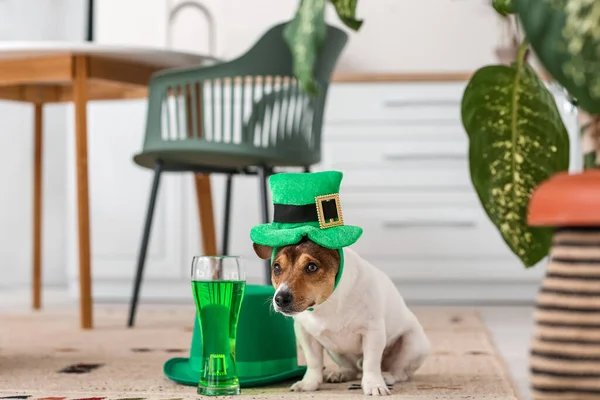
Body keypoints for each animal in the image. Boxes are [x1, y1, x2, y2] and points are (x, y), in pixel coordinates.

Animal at [251, 239, 428, 396]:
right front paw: (309, 384)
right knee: (353, 369)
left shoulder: (373, 332)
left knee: (400, 372)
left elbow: (371, 363)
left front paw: (374, 385)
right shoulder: (305, 334)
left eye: (312, 267)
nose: (280, 298)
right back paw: (341, 374)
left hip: (412, 344)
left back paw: (387, 376)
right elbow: (313, 361)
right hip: (334, 351)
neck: (328, 302)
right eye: (276, 267)